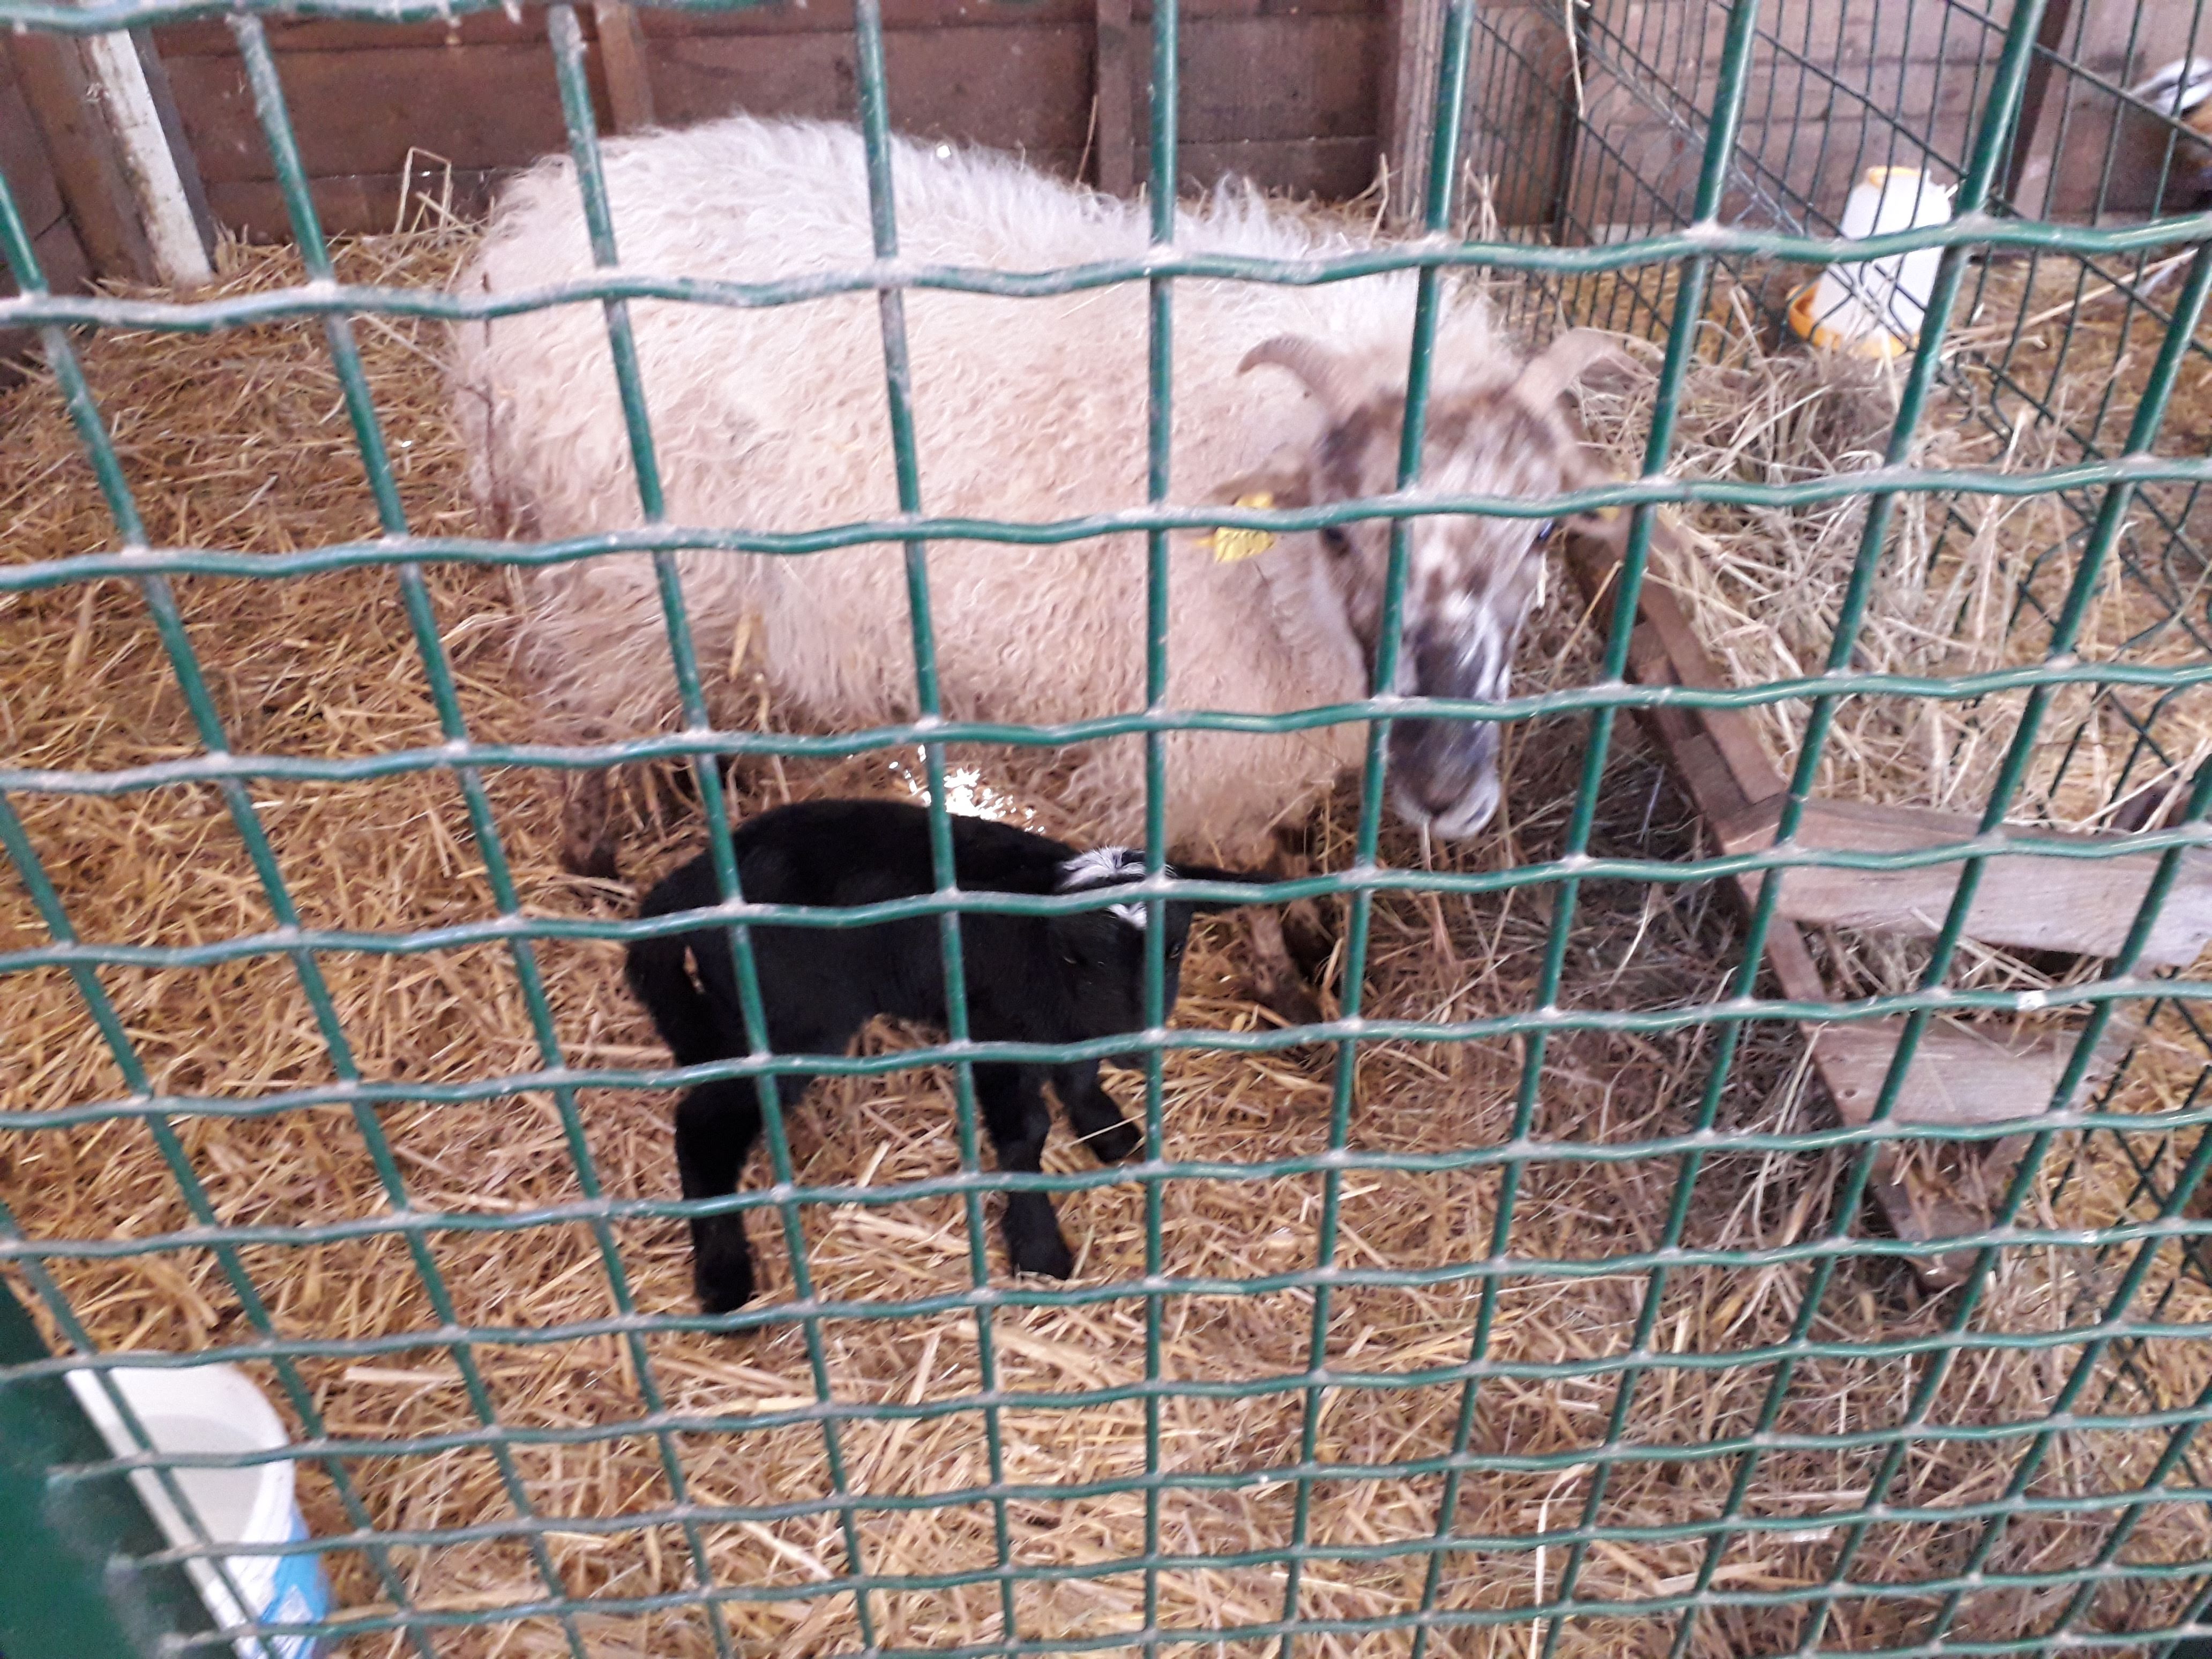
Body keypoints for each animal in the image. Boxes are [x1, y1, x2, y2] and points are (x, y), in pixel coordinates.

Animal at [448, 113, 1622, 1014]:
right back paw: (592, 850)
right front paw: (1283, 982)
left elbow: (1286, 836)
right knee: (576, 704)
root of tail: (532, 233)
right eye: (1339, 530)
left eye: (1542, 533)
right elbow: (1244, 865)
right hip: (613, 572)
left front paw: (1312, 924)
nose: (1449, 787)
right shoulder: (1207, 728)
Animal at [624, 796, 1251, 1312]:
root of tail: (693, 881)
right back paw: (724, 1277)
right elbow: (1025, 1131)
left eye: (1175, 949)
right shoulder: (994, 1032)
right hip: (791, 1024)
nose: (1138, 1047)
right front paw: (1038, 1248)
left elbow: (1078, 1077)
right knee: (704, 1125)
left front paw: (1109, 1131)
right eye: (1079, 959)